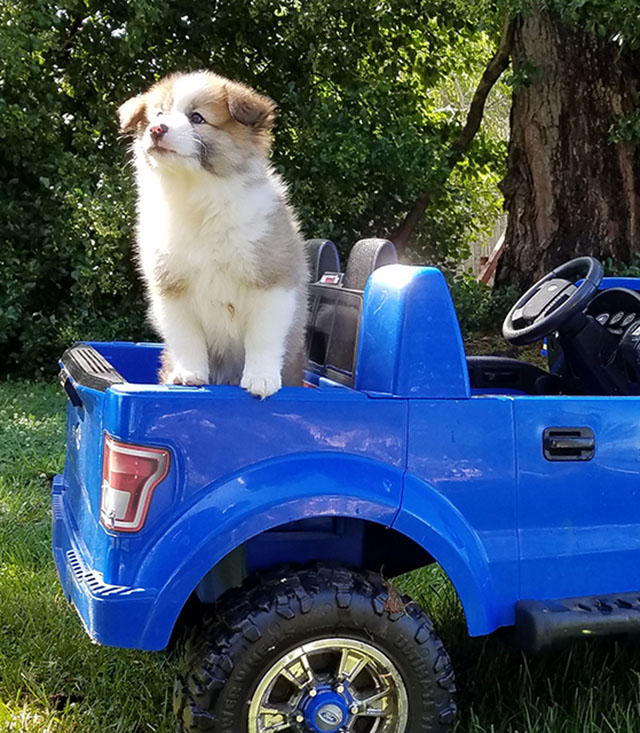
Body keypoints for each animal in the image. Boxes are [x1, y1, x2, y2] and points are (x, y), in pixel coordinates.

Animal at [122, 70, 310, 394]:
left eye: (197, 118)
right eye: (158, 114)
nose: (157, 129)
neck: (196, 196)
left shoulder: (272, 281)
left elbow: (262, 336)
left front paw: (261, 379)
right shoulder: (171, 288)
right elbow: (187, 338)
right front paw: (188, 375)